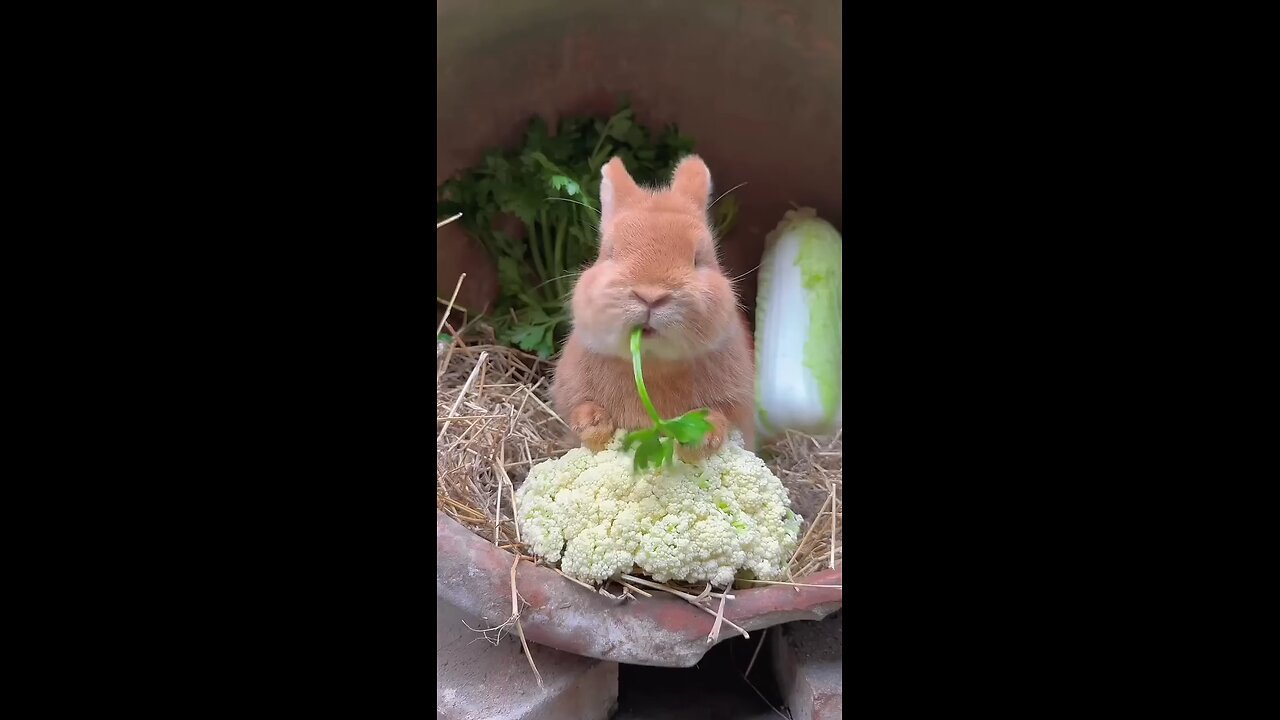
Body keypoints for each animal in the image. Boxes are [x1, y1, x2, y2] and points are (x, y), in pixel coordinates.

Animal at [547, 154, 747, 461]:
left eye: (698, 258)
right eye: (611, 252)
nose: (651, 296)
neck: (651, 364)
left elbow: (723, 417)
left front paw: (702, 437)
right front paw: (593, 422)